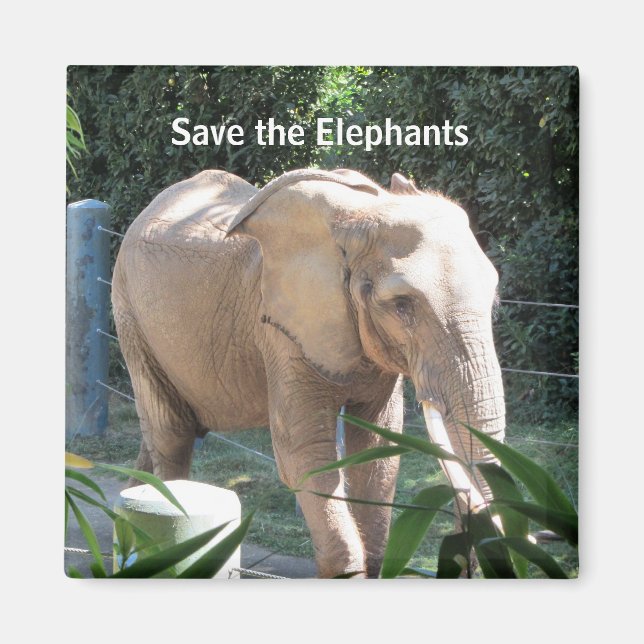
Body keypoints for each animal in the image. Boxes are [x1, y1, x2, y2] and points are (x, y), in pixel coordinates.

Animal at [111, 167, 505, 578]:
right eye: (402, 305)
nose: (464, 559)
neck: (360, 216)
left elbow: (377, 453)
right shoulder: (283, 330)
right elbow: (305, 454)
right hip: (129, 312)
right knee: (172, 434)